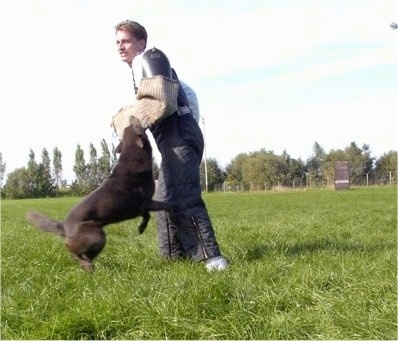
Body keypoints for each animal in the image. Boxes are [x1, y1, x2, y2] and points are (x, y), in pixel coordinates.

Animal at [26, 117, 169, 270]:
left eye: (128, 127)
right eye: (135, 125)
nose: (131, 116)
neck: (132, 152)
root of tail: (63, 226)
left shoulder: (141, 207)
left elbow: (146, 216)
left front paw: (141, 228)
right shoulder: (146, 202)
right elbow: (166, 206)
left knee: (82, 254)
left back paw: (89, 266)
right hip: (97, 236)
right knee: (75, 253)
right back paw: (88, 266)